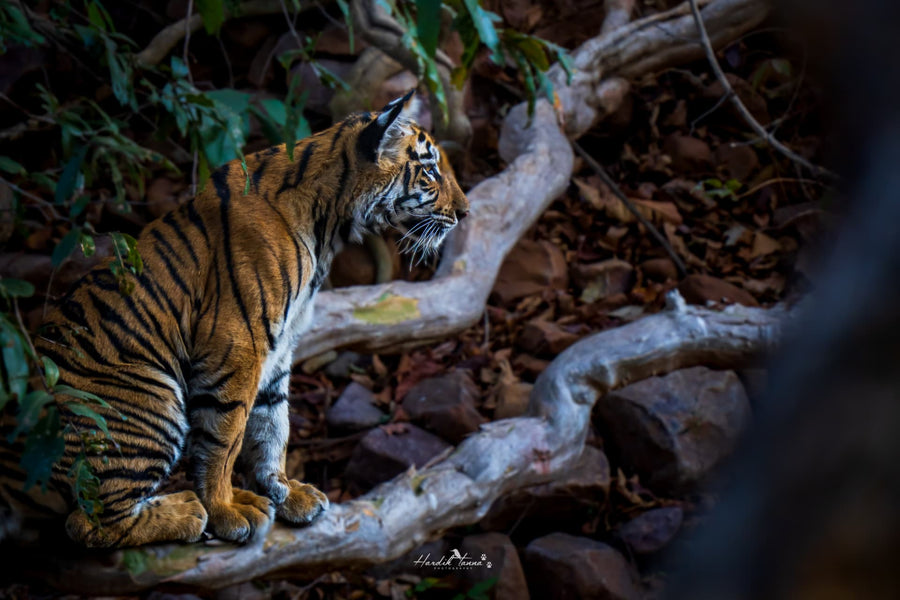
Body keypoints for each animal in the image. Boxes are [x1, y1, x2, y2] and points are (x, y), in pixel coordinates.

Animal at [0, 90, 469, 548]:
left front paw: (283, 491)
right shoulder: (237, 344)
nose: (465, 212)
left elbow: (273, 424)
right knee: (89, 523)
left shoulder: (279, 346)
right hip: (148, 401)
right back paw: (188, 511)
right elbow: (227, 434)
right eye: (430, 172)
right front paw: (224, 510)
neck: (330, 224)